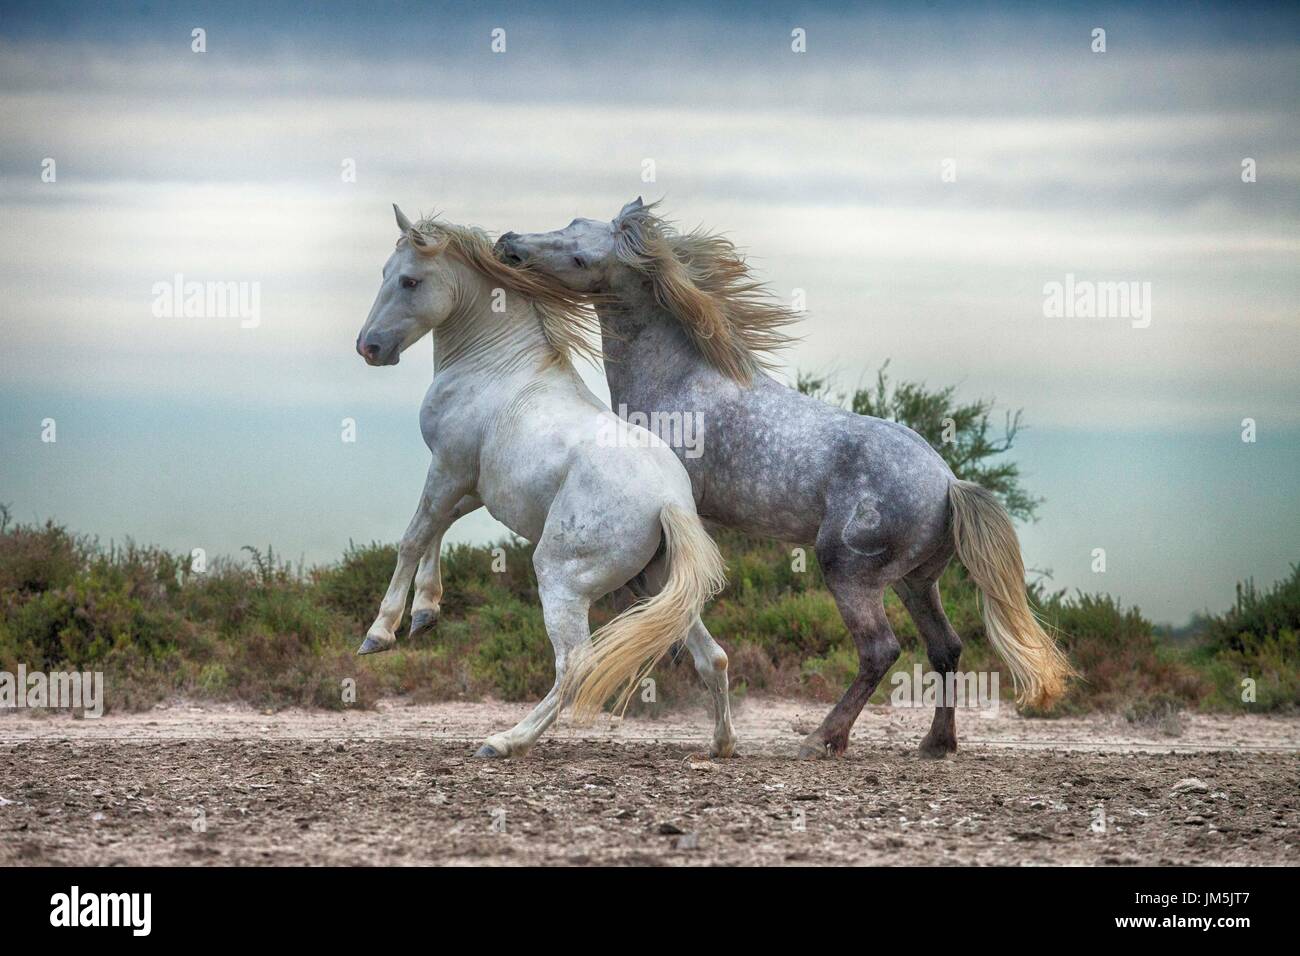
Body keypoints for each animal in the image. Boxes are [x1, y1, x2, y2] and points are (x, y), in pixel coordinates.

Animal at [352, 205, 732, 758]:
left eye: (409, 280)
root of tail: (669, 503)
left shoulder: (449, 468)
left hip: (560, 579)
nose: (369, 346)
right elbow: (438, 528)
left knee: (576, 665)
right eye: (384, 273)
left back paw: (505, 741)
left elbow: (414, 536)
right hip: (659, 583)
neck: (495, 367)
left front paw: (380, 633)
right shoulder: (477, 486)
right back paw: (721, 744)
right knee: (714, 657)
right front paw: (426, 612)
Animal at [495, 198, 1075, 758]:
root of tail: (949, 484)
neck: (680, 382)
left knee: (880, 650)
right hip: (916, 581)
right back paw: (935, 744)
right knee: (946, 647)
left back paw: (822, 739)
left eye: (580, 258)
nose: (508, 243)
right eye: (571, 219)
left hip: (849, 571)